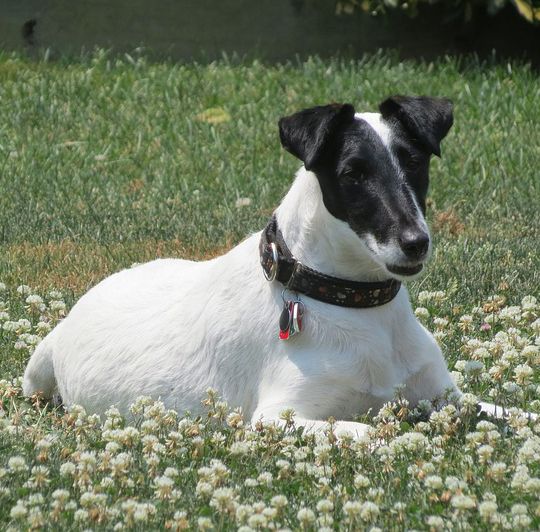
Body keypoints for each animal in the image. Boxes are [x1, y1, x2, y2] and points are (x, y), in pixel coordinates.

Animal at [23, 95, 516, 436]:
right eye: (353, 174)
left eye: (413, 163)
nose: (416, 243)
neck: (353, 301)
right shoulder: (278, 417)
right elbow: (370, 430)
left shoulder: (447, 397)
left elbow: (508, 412)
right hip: (34, 375)